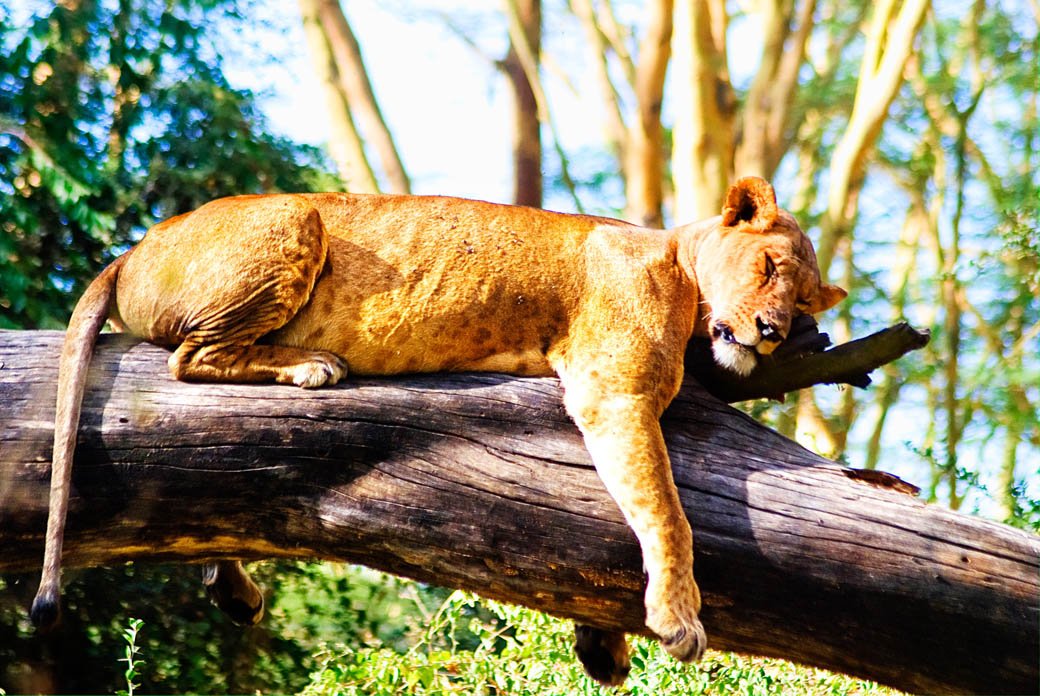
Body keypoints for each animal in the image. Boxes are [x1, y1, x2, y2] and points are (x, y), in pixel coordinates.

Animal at [31, 176, 844, 685]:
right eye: (767, 265)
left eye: (806, 300)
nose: (773, 332)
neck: (679, 265)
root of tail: (131, 249)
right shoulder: (612, 392)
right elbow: (666, 513)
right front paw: (677, 622)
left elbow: (607, 526)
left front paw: (603, 644)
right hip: (292, 221)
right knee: (189, 359)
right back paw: (312, 367)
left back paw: (232, 587)